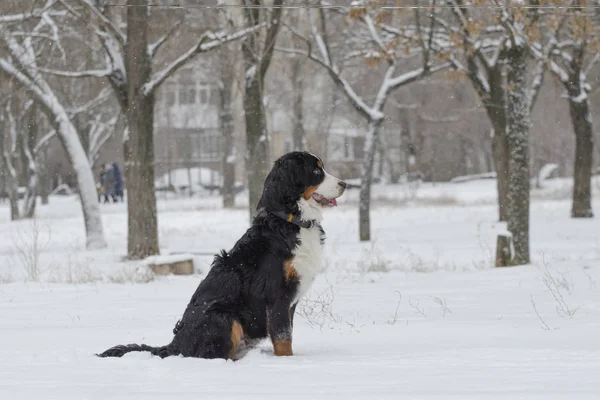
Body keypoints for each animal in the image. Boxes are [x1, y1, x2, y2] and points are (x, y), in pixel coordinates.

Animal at [98, 152, 346, 360]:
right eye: (316, 171)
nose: (345, 184)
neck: (289, 221)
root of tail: (175, 344)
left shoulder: (289, 301)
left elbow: (286, 333)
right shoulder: (277, 295)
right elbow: (283, 337)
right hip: (224, 315)